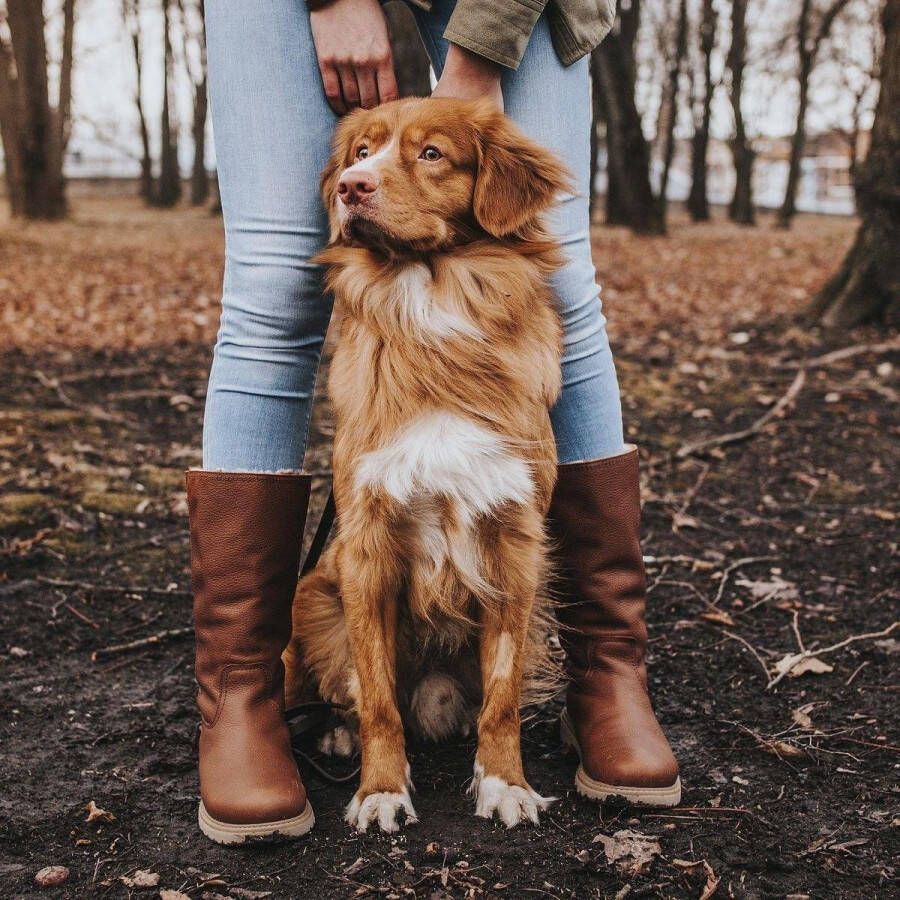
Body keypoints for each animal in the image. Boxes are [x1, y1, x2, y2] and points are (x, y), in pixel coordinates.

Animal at [284, 96, 572, 828]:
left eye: (432, 153)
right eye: (361, 152)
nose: (350, 187)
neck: (429, 304)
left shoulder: (515, 544)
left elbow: (502, 695)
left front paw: (505, 783)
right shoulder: (366, 548)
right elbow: (378, 698)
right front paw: (380, 790)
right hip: (314, 600)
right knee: (340, 690)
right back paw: (335, 732)